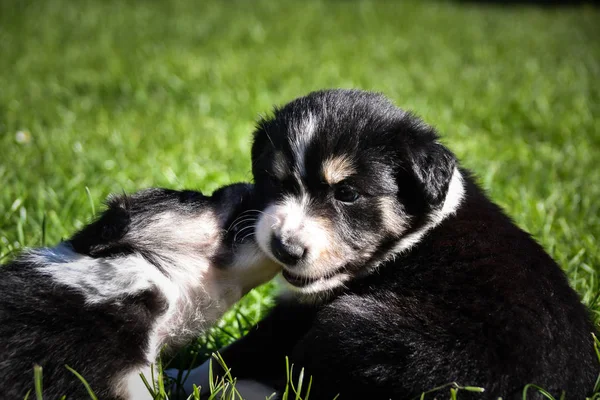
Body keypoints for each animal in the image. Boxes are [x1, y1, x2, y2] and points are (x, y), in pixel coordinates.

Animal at [185, 90, 596, 400]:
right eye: (273, 180)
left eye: (347, 194)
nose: (284, 248)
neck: (413, 238)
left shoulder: (301, 314)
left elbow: (235, 354)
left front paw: (179, 378)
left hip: (350, 325)